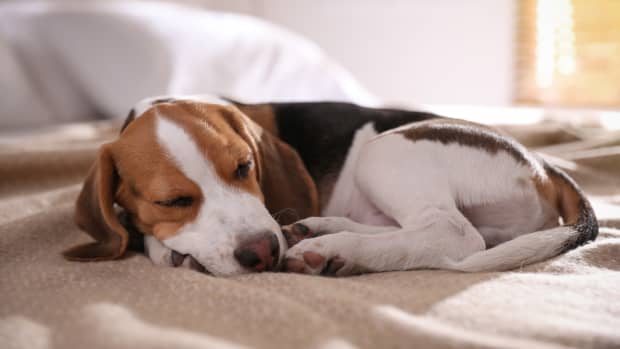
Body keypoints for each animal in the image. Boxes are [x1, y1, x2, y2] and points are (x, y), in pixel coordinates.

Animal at [61, 94, 596, 274]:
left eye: (245, 167)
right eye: (172, 200)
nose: (263, 253)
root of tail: (542, 165)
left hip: (384, 151)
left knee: (454, 235)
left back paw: (339, 249)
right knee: (421, 232)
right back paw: (322, 235)